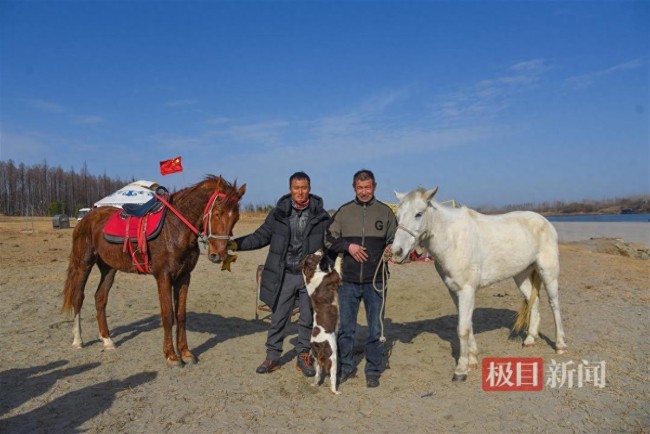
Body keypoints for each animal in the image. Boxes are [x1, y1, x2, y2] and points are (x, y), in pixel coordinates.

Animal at [63, 175, 246, 364]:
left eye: (236, 217)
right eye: (217, 213)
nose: (218, 255)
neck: (175, 229)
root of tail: (86, 218)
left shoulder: (184, 277)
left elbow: (181, 315)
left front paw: (186, 353)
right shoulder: (163, 276)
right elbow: (168, 315)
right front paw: (171, 355)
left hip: (108, 268)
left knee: (100, 298)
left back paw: (107, 340)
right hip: (83, 264)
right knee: (78, 297)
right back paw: (78, 340)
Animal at [300, 249, 344, 396]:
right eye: (312, 255)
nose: (320, 249)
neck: (311, 274)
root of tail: (316, 344)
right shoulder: (334, 277)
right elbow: (337, 264)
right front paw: (341, 253)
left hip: (316, 360)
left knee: (317, 374)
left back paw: (314, 384)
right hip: (333, 356)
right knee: (332, 377)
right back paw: (335, 391)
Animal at [388, 186, 564, 380]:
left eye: (418, 214)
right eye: (398, 216)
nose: (396, 252)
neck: (453, 240)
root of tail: (544, 220)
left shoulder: (467, 290)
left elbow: (462, 329)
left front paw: (461, 370)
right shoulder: (454, 291)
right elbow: (467, 324)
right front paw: (472, 361)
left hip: (548, 272)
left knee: (554, 303)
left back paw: (560, 344)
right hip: (522, 275)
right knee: (534, 302)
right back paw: (530, 339)